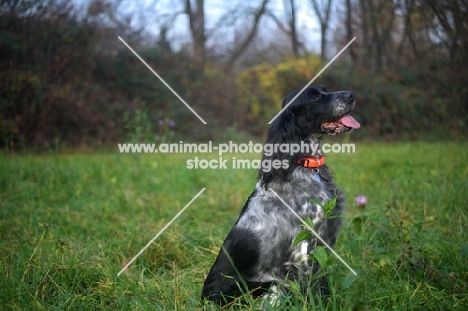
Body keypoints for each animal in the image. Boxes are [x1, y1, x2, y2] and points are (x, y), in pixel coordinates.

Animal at [203, 85, 360, 308]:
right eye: (314, 97)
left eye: (325, 89)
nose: (350, 95)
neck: (305, 166)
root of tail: (205, 299)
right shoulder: (304, 249)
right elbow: (314, 288)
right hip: (271, 286)